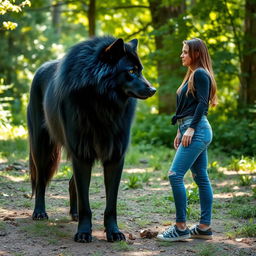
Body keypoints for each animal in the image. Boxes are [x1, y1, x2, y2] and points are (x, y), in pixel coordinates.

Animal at [28, 36, 156, 242]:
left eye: (141, 70)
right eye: (131, 71)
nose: (153, 89)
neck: (102, 104)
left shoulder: (114, 157)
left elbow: (110, 204)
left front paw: (113, 232)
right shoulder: (81, 155)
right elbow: (85, 203)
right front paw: (83, 232)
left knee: (71, 183)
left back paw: (73, 214)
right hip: (42, 148)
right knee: (41, 180)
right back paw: (39, 212)